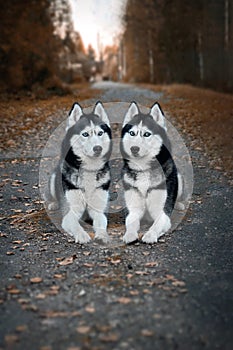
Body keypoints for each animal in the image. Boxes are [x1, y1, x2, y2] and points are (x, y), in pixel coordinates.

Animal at [48, 101, 112, 243]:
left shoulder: (98, 211)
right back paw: (53, 204)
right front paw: (82, 235)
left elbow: (101, 222)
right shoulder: (70, 213)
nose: (98, 148)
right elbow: (76, 226)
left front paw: (103, 235)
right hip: (54, 178)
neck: (89, 169)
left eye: (100, 133)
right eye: (85, 134)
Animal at [120, 101, 178, 243]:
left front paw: (150, 235)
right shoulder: (134, 210)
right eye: (132, 133)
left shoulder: (162, 213)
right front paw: (129, 234)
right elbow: (131, 222)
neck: (143, 169)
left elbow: (156, 225)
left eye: (146, 134)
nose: (134, 148)